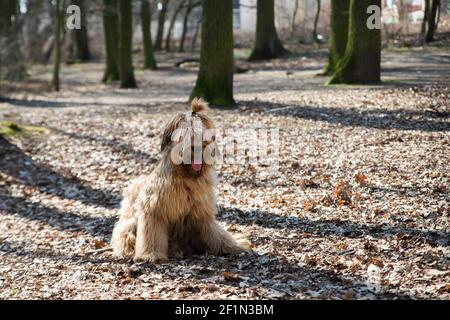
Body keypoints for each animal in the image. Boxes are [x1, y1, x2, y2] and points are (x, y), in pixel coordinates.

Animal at [110, 98, 250, 262]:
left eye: (203, 135)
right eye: (186, 134)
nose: (197, 148)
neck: (186, 178)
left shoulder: (201, 214)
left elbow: (216, 234)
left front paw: (233, 245)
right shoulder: (154, 212)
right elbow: (152, 236)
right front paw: (150, 255)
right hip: (130, 223)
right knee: (125, 236)